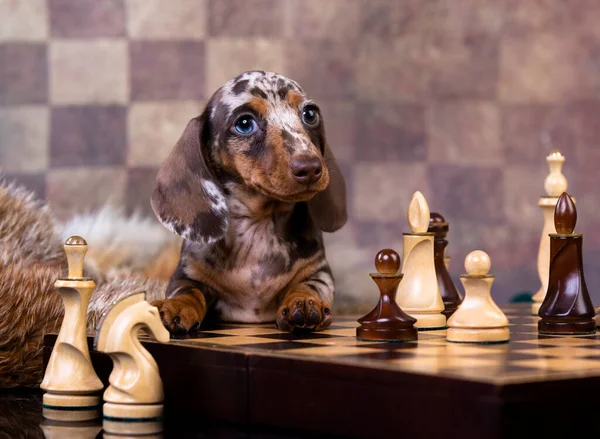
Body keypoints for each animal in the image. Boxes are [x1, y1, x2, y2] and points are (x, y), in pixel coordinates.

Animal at [149, 70, 346, 336]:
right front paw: (176, 306)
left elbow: (308, 285)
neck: (258, 225)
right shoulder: (187, 274)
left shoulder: (318, 271)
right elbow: (188, 291)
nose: (311, 168)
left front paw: (305, 302)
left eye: (310, 114)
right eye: (244, 123)